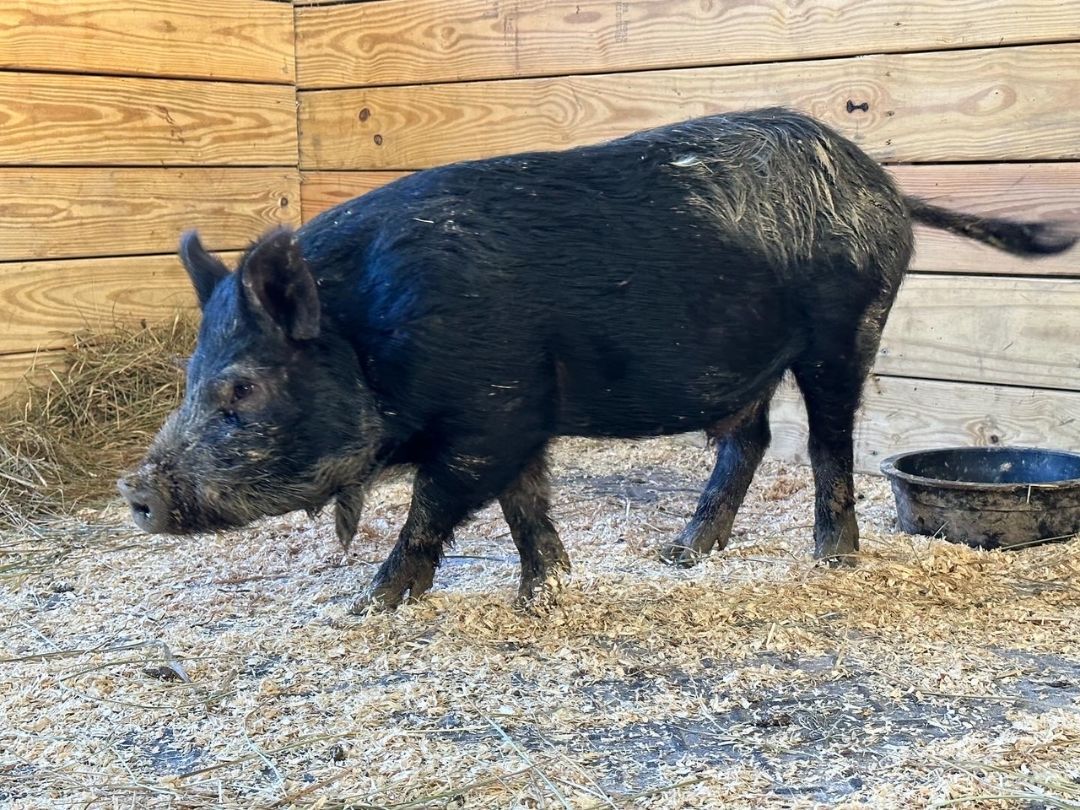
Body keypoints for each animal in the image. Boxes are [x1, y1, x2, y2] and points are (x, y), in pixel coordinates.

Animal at [118, 108, 1076, 612]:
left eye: (241, 387)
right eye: (189, 380)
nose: (135, 491)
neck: (373, 337)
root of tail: (883, 184)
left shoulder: (491, 409)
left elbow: (436, 507)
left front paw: (367, 607)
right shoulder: (517, 412)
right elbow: (524, 503)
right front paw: (547, 591)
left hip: (849, 326)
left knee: (826, 442)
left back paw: (830, 560)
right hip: (751, 359)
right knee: (750, 440)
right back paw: (680, 556)